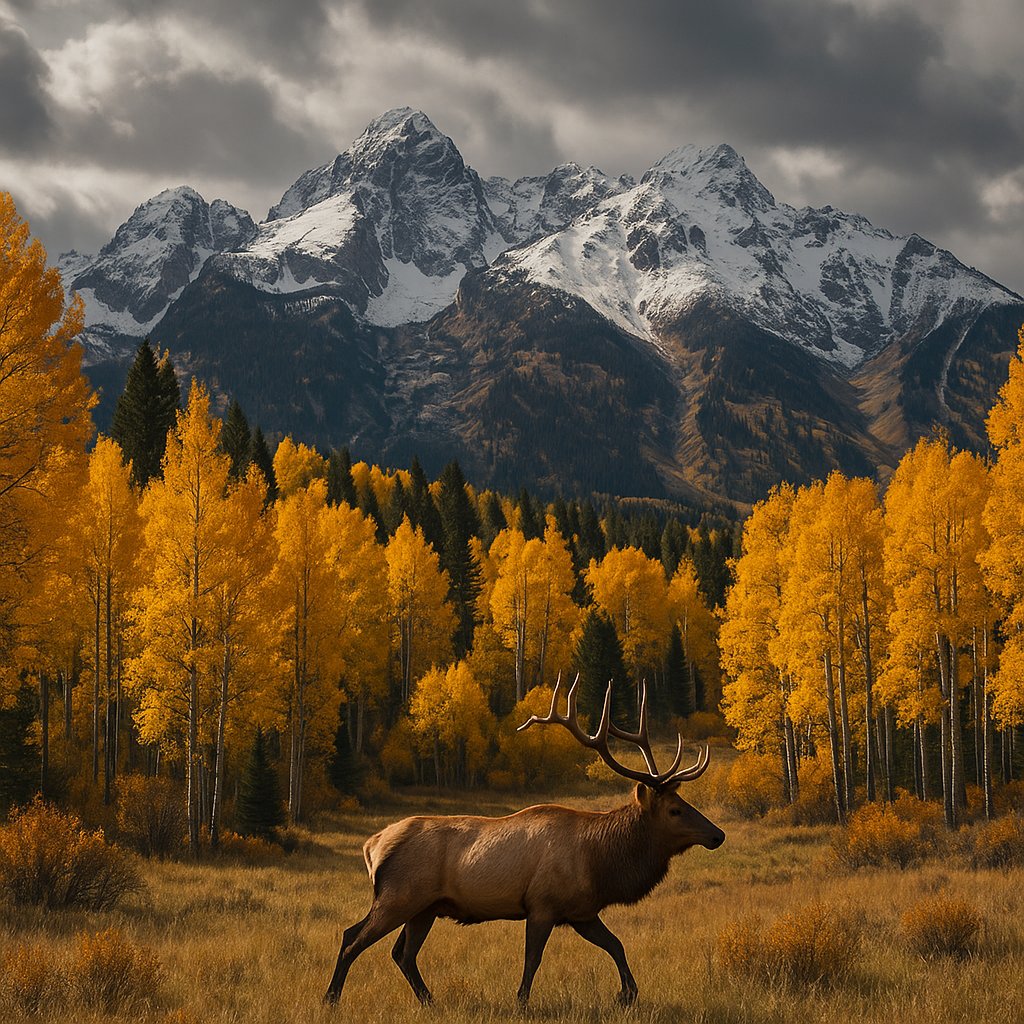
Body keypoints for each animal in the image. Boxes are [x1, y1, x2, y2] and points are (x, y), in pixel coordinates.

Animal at [324, 674, 725, 1008]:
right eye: (675, 809)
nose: (717, 835)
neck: (600, 863)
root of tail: (372, 846)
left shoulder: (582, 912)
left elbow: (617, 945)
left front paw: (627, 995)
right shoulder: (542, 904)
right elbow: (533, 959)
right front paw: (521, 1002)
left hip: (425, 907)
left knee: (401, 953)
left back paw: (429, 1000)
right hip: (399, 896)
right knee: (353, 938)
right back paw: (332, 999)